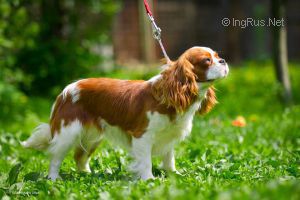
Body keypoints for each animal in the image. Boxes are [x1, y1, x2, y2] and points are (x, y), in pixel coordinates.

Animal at [22, 46, 229, 180]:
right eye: (207, 60)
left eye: (217, 56)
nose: (223, 60)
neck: (168, 95)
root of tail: (64, 92)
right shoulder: (142, 136)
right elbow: (145, 161)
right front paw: (149, 180)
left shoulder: (168, 137)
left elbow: (169, 158)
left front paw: (173, 174)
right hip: (68, 133)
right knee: (55, 157)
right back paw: (53, 179)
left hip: (92, 138)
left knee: (79, 157)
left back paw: (88, 175)